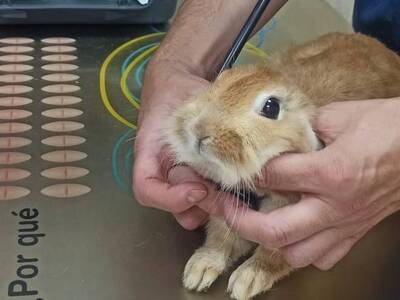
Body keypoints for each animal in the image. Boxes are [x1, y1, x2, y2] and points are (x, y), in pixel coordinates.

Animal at [162, 31, 400, 298]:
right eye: (220, 81)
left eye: (271, 107)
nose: (200, 130)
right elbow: (220, 238)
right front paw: (199, 269)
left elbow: (274, 256)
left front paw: (247, 281)